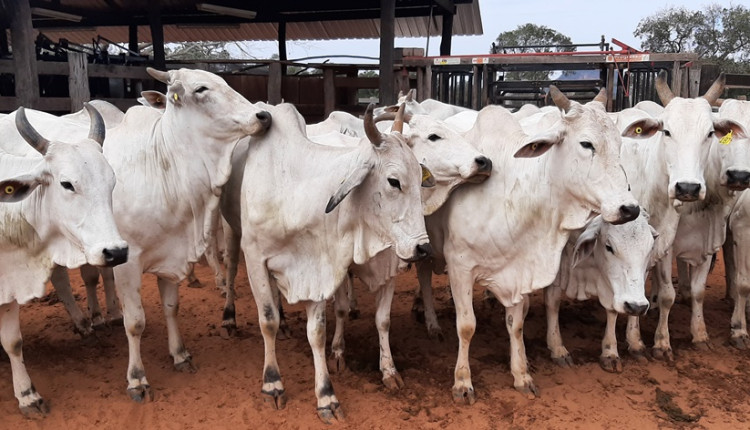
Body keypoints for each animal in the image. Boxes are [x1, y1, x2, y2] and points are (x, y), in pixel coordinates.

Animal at [0, 104, 128, 416]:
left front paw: (27, 395)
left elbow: (13, 341)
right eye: (67, 184)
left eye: (112, 183)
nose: (117, 251)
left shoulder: (10, 280)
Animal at [235, 104, 434, 424]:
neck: (295, 195)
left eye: (420, 178)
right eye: (393, 181)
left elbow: (318, 333)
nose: (423, 248)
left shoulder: (319, 268)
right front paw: (272, 383)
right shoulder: (255, 259)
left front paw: (326, 396)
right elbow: (268, 321)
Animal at [418, 87, 648, 404]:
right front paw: (463, 382)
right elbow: (466, 326)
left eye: (619, 145)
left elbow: (516, 324)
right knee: (424, 278)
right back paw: (430, 321)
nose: (628, 208)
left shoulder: (519, 269)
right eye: (586, 144)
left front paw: (521, 374)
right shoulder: (460, 266)